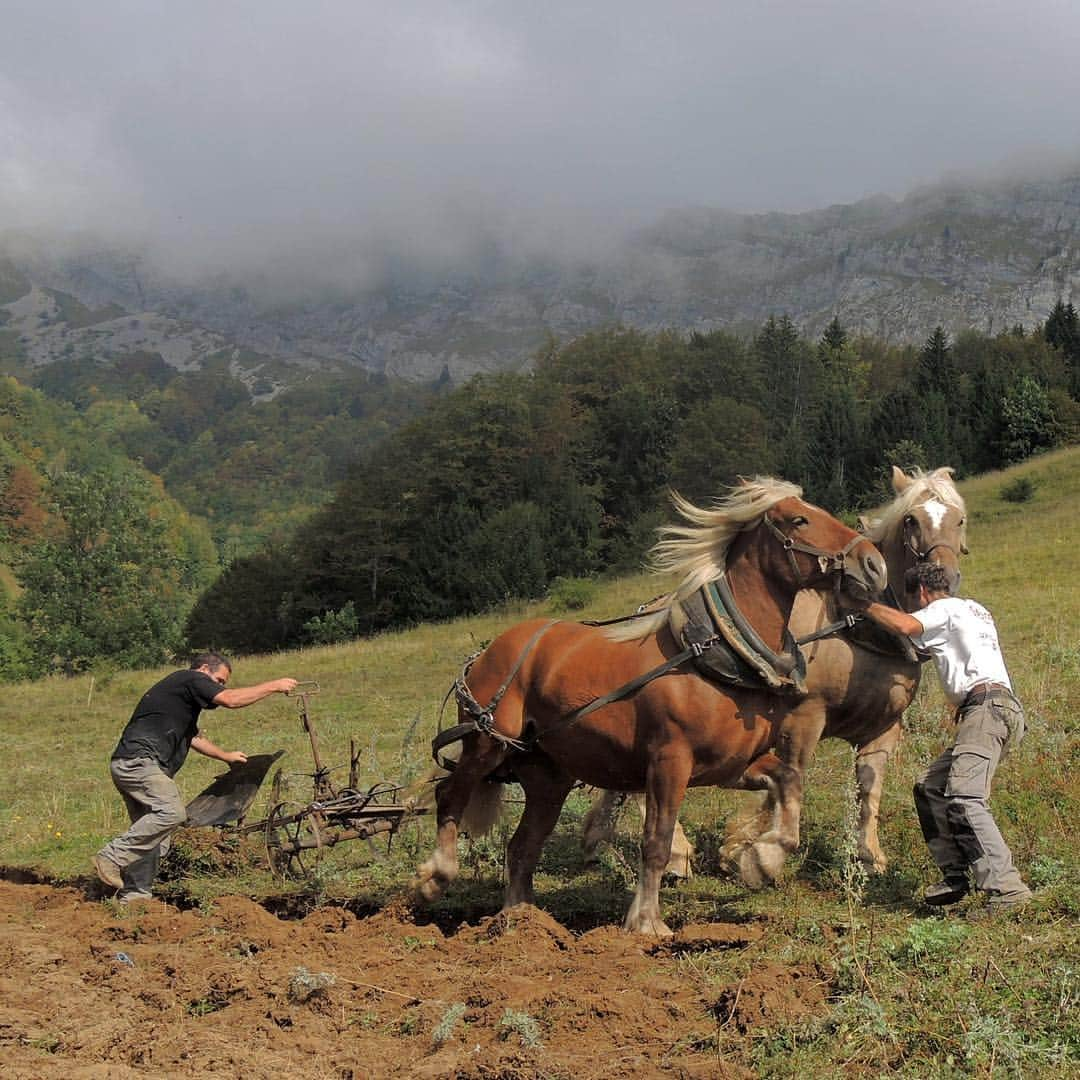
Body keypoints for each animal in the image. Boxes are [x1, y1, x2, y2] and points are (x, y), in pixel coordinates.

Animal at [412, 477, 885, 933]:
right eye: (799, 520)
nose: (874, 566)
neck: (717, 651)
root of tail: (488, 651)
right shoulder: (669, 761)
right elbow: (656, 841)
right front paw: (646, 922)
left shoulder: (732, 765)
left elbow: (788, 781)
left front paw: (764, 858)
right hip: (488, 743)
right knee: (449, 796)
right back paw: (436, 877)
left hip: (549, 777)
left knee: (522, 846)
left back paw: (520, 921)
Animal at [583, 462, 972, 876]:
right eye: (911, 519)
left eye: (959, 519)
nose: (943, 576)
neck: (856, 630)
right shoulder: (804, 716)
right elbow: (792, 778)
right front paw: (752, 850)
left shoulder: (884, 727)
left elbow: (868, 787)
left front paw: (868, 855)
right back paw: (674, 854)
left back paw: (600, 840)